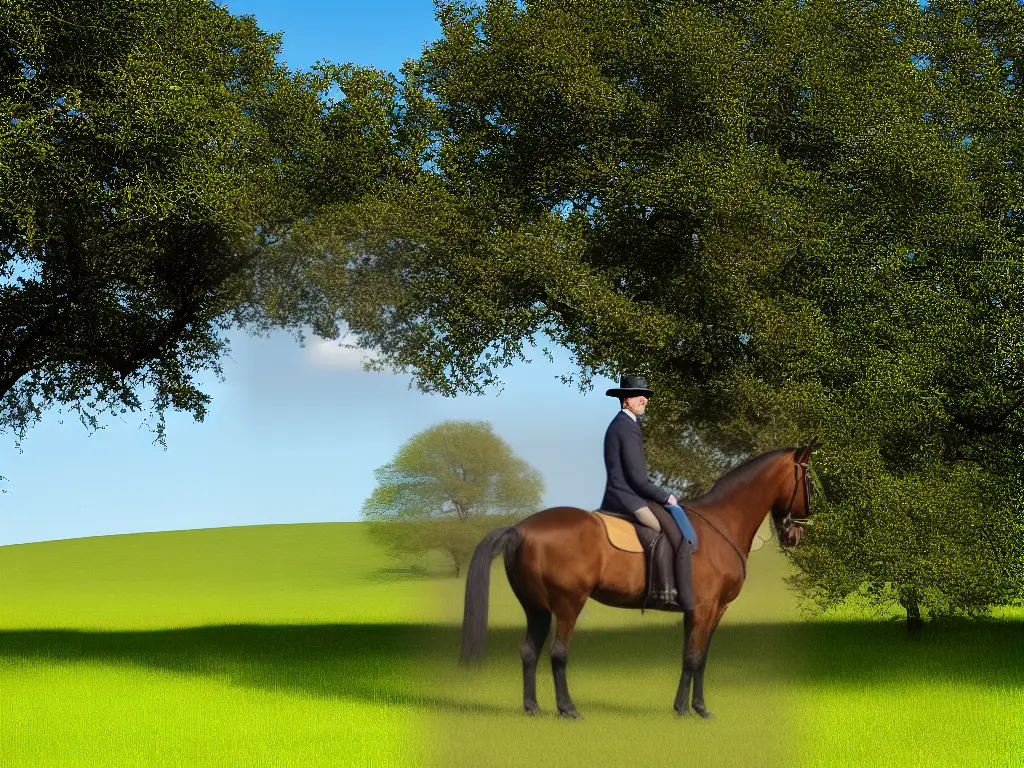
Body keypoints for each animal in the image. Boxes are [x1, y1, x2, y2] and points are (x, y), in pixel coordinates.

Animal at [460, 444, 811, 720]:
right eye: (807, 479)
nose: (795, 534)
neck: (721, 525)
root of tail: (521, 528)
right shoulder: (706, 608)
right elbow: (695, 657)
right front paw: (692, 710)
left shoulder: (706, 610)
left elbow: (695, 658)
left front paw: (689, 707)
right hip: (568, 604)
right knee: (558, 653)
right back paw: (568, 709)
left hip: (537, 608)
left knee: (529, 652)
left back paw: (532, 707)